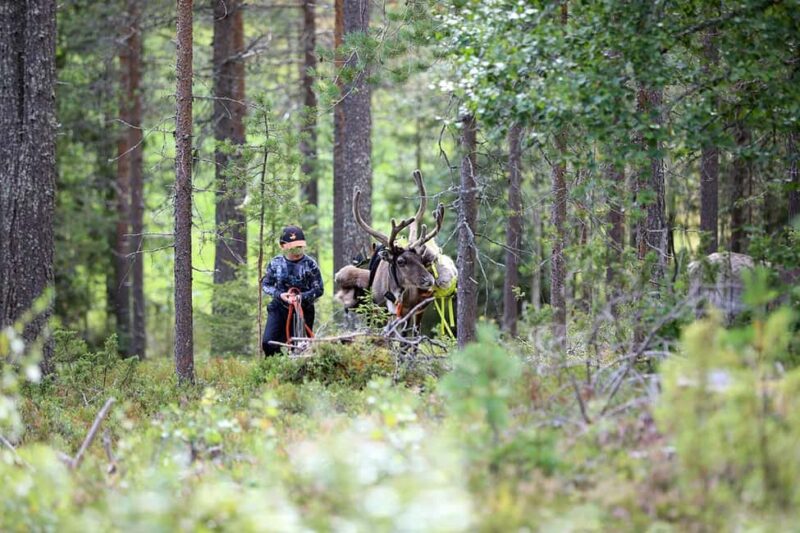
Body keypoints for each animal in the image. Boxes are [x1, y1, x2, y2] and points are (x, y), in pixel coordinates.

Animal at [334, 170, 455, 332]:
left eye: (420, 259)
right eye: (400, 261)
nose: (429, 280)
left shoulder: (406, 313)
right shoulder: (379, 310)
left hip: (419, 310)